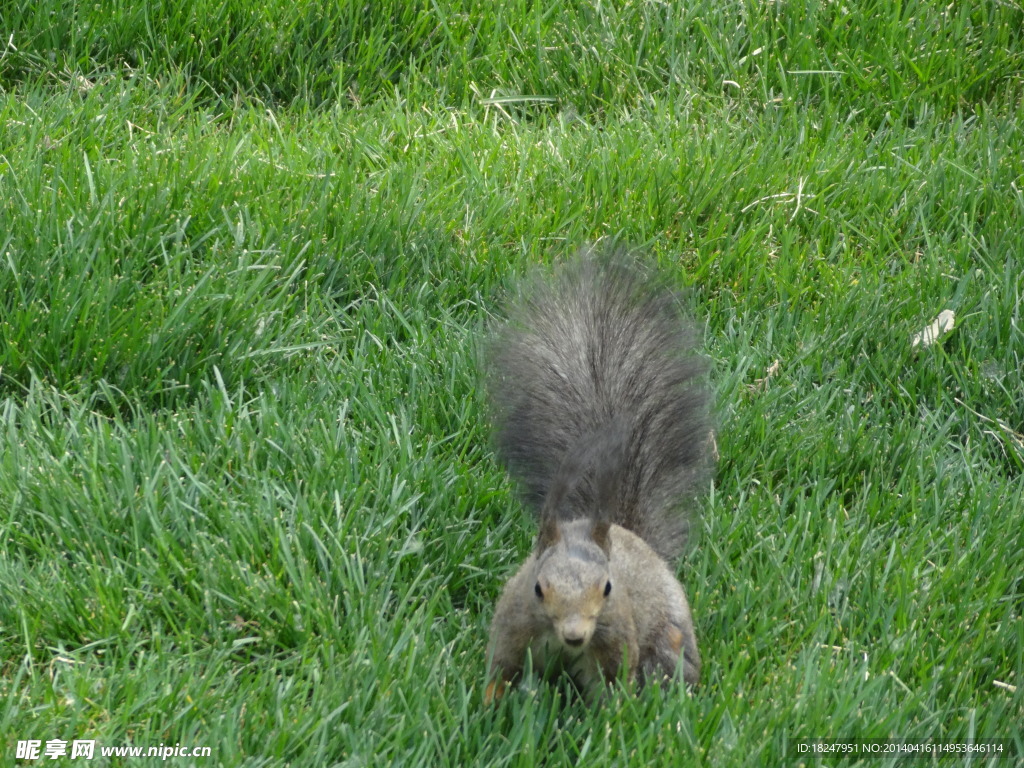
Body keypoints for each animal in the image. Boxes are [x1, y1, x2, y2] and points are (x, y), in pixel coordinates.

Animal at [481, 249, 712, 708]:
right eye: (538, 588)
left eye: (608, 588)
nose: (574, 635)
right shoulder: (513, 628)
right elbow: (501, 669)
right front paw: (487, 705)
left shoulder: (614, 643)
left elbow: (610, 689)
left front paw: (608, 720)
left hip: (669, 636)